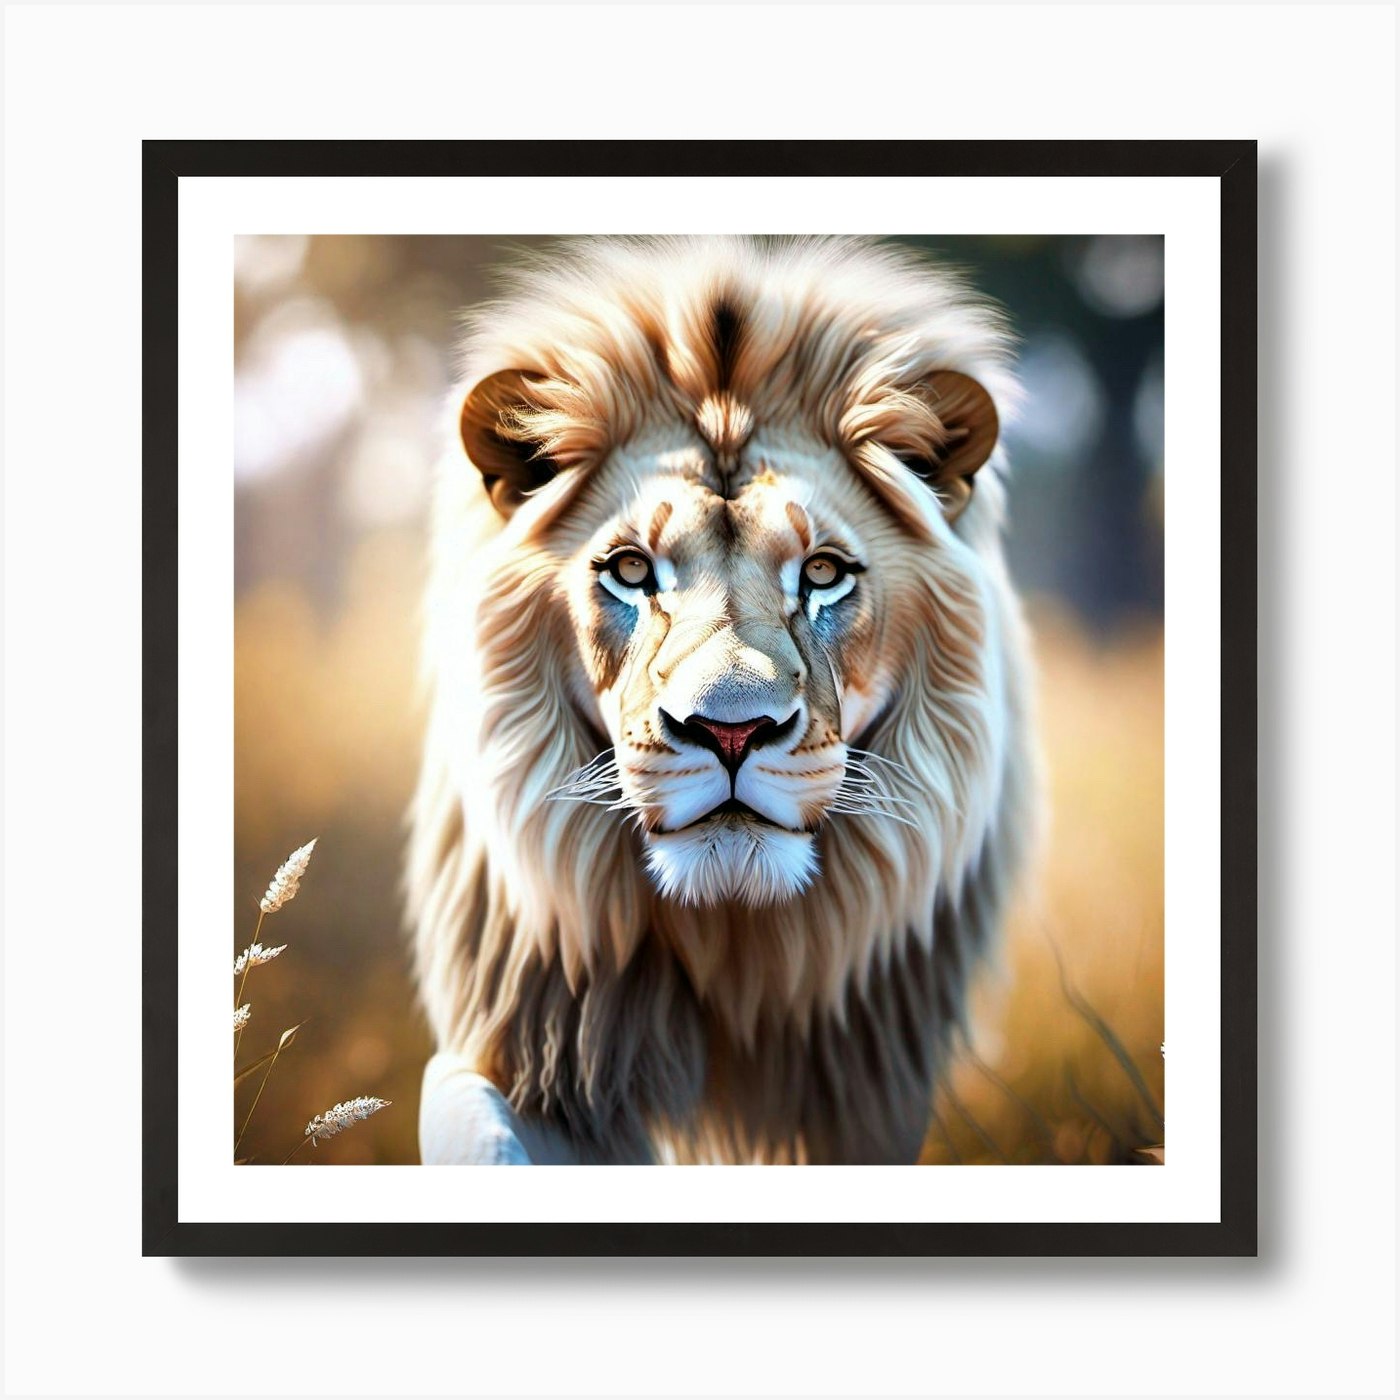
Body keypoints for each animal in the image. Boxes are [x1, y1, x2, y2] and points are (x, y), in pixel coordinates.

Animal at [409, 236, 1038, 1165]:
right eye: (632, 568)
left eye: (823, 572)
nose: (731, 732)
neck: (732, 942)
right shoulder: (546, 1042)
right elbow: (469, 1116)